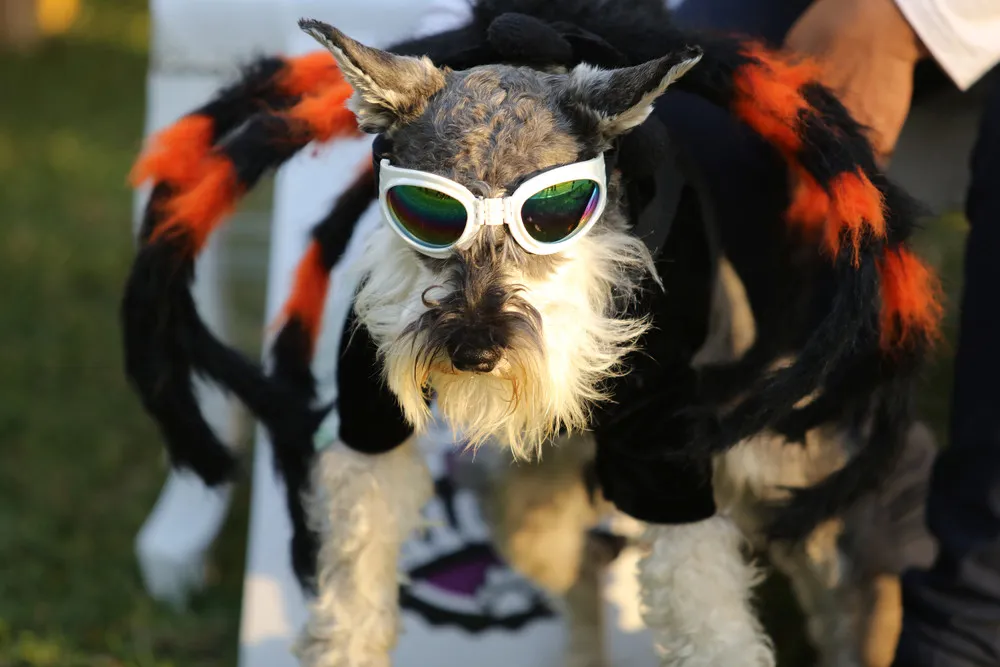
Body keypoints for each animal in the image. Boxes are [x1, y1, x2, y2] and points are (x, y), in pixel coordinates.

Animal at [121, 2, 940, 664]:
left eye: (556, 209)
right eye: (426, 211)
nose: (474, 348)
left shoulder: (667, 452)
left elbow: (707, 610)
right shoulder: (370, 419)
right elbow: (358, 569)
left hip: (785, 466)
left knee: (852, 563)